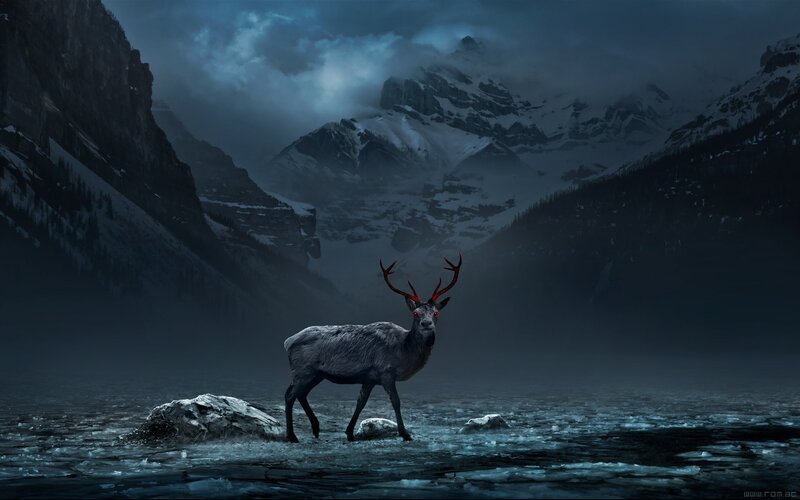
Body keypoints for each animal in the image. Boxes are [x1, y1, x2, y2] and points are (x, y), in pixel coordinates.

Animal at [283, 255, 462, 443]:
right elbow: (396, 401)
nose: (426, 323)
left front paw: (349, 433)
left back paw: (316, 428)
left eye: (436, 313)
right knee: (289, 395)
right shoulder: (386, 371)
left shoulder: (369, 378)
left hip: (316, 374)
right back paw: (292, 436)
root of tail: (288, 341)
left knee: (301, 394)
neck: (404, 350)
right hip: (302, 370)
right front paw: (405, 434)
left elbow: (361, 402)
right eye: (415, 313)